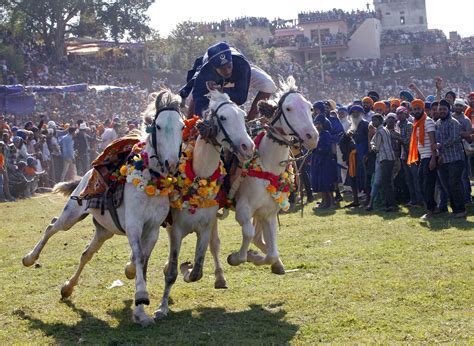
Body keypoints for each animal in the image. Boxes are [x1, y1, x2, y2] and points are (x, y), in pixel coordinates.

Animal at [22, 89, 185, 328]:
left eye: (182, 126)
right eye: (158, 126)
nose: (171, 163)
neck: (150, 181)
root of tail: (87, 174)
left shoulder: (153, 229)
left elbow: (141, 259)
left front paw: (138, 303)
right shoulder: (134, 226)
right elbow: (138, 257)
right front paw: (141, 302)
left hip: (104, 230)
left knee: (86, 254)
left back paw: (67, 288)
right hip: (72, 214)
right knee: (52, 227)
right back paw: (29, 258)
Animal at [154, 89, 254, 318]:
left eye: (242, 115)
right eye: (223, 117)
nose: (248, 146)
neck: (198, 173)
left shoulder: (205, 227)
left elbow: (197, 271)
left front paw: (187, 268)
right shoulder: (176, 231)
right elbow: (172, 271)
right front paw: (162, 307)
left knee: (214, 246)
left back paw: (220, 278)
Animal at [227, 75, 318, 274]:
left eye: (310, 108)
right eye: (288, 108)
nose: (312, 136)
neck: (268, 166)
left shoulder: (268, 213)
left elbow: (272, 252)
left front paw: (260, 258)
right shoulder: (243, 209)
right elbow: (248, 234)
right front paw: (236, 257)